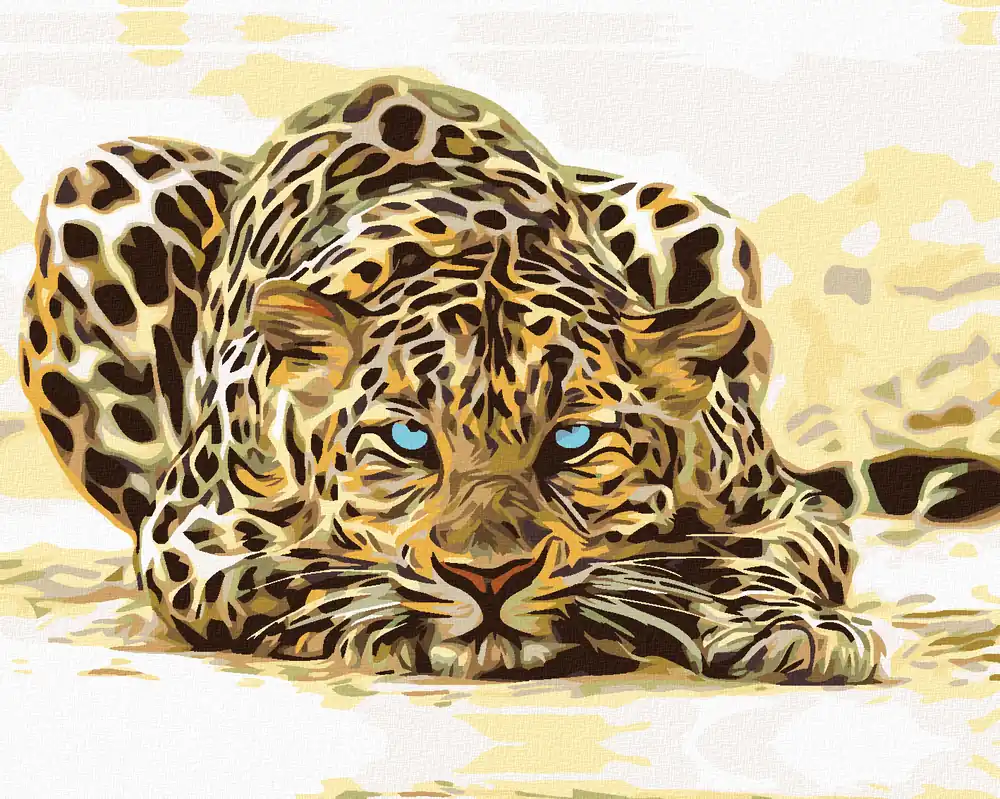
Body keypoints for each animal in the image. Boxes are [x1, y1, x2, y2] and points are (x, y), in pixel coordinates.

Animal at [18, 76, 884, 682]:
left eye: (573, 438)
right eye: (408, 438)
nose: (488, 578)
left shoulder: (789, 508)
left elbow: (726, 553)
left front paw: (794, 625)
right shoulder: (190, 534)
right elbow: (301, 570)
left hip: (694, 216)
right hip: (98, 185)